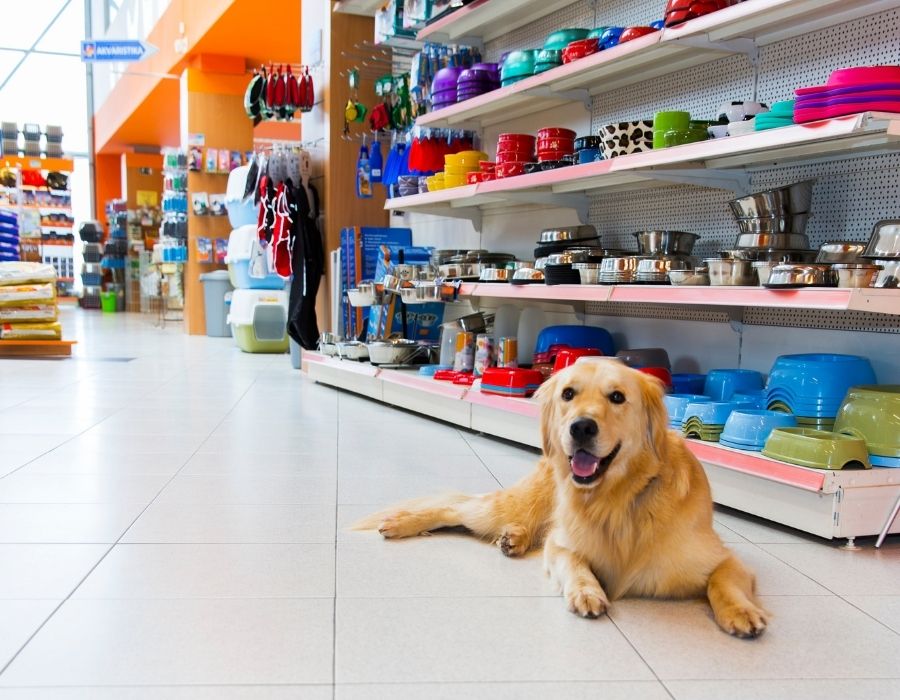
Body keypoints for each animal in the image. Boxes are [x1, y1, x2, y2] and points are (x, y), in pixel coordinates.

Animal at [352, 358, 768, 636]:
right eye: (568, 393)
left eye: (618, 397)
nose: (580, 427)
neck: (616, 499)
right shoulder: (564, 544)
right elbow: (575, 562)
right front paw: (586, 591)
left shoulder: (724, 559)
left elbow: (723, 581)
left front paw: (741, 611)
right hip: (511, 504)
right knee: (453, 507)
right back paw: (402, 523)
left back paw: (514, 538)